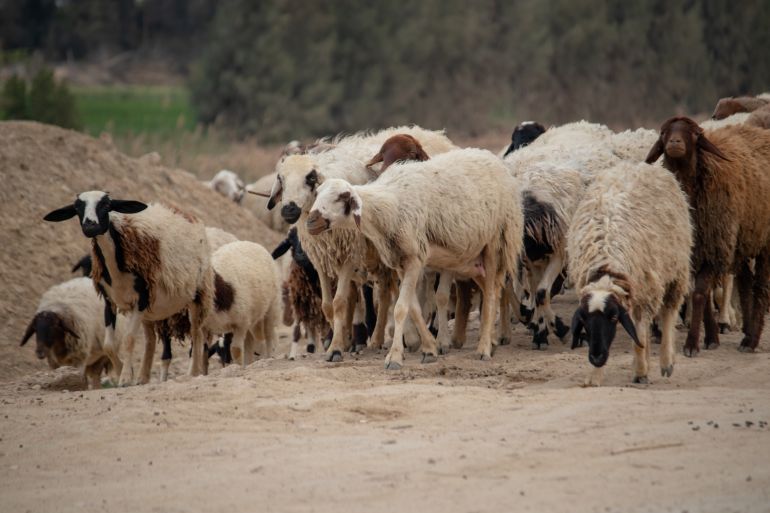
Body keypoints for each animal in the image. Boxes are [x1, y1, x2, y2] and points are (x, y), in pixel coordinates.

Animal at [44, 192, 214, 385]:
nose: (90, 225)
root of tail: (186, 214)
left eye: (106, 204)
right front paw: (121, 371)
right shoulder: (110, 301)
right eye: (77, 207)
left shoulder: (141, 299)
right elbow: (108, 345)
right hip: (151, 309)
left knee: (197, 333)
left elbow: (129, 339)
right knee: (150, 340)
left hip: (197, 295)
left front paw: (125, 377)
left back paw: (193, 372)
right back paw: (143, 377)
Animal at [268, 126, 457, 363]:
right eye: (280, 178)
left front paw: (337, 348)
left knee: (428, 290)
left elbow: (341, 301)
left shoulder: (351, 252)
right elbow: (328, 305)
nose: (289, 210)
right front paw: (338, 341)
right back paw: (379, 338)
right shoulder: (320, 259)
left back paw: (425, 334)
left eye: (310, 177)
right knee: (385, 292)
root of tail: (431, 133)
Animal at [306, 148, 523, 368]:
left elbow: (401, 308)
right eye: (317, 193)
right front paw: (429, 349)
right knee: (492, 291)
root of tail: (491, 157)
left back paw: (484, 348)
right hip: (470, 259)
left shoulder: (414, 259)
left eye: (340, 198)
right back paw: (492, 342)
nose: (310, 221)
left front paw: (394, 357)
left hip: (495, 242)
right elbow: (414, 308)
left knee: (490, 296)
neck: (389, 206)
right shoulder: (402, 263)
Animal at [568, 161, 692, 386]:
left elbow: (639, 337)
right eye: (584, 320)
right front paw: (595, 375)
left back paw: (666, 361)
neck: (606, 268)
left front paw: (641, 372)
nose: (597, 357)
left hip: (675, 270)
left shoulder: (647, 292)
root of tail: (639, 165)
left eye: (614, 318)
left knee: (669, 312)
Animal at [645, 117, 770, 355]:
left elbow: (700, 293)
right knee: (745, 283)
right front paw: (711, 336)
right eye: (664, 132)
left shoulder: (715, 246)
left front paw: (692, 343)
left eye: (695, 134)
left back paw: (751, 340)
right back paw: (746, 332)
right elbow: (699, 292)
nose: (675, 142)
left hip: (763, 241)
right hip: (741, 241)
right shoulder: (694, 251)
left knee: (760, 287)